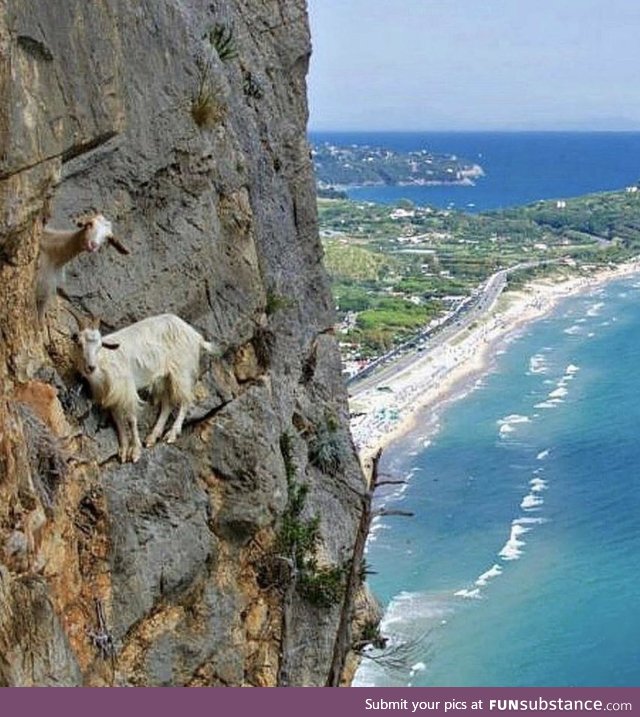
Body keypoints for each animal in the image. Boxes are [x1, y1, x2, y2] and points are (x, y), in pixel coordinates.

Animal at [71, 314, 214, 464]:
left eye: (99, 346)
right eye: (79, 344)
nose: (91, 367)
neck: (106, 360)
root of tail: (195, 335)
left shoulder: (127, 390)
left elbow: (131, 420)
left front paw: (135, 452)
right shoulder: (113, 396)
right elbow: (118, 420)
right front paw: (123, 451)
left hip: (182, 371)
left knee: (185, 400)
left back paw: (172, 434)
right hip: (164, 378)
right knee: (167, 405)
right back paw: (152, 437)